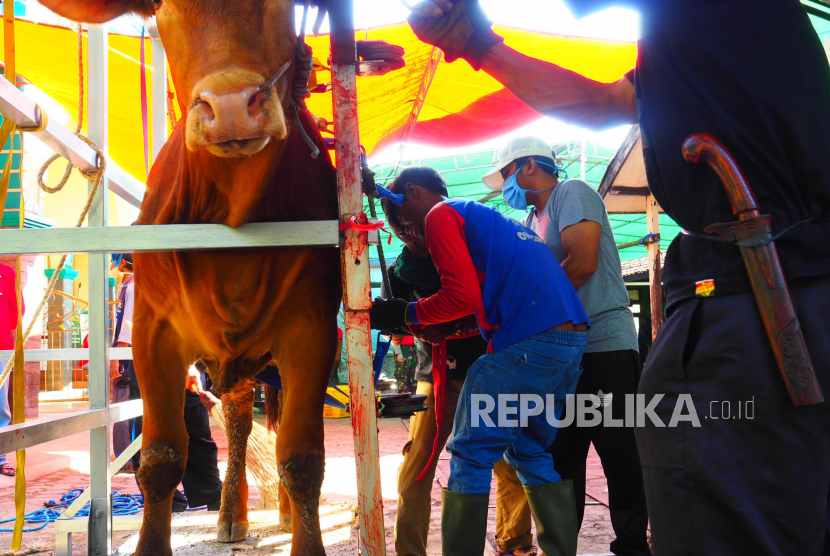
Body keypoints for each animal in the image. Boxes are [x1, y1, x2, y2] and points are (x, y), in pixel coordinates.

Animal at [38, 1, 342, 556]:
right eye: (162, 9)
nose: (232, 106)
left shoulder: (313, 331)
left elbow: (302, 457)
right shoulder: (151, 331)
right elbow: (160, 456)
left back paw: (284, 514)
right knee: (239, 419)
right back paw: (231, 514)